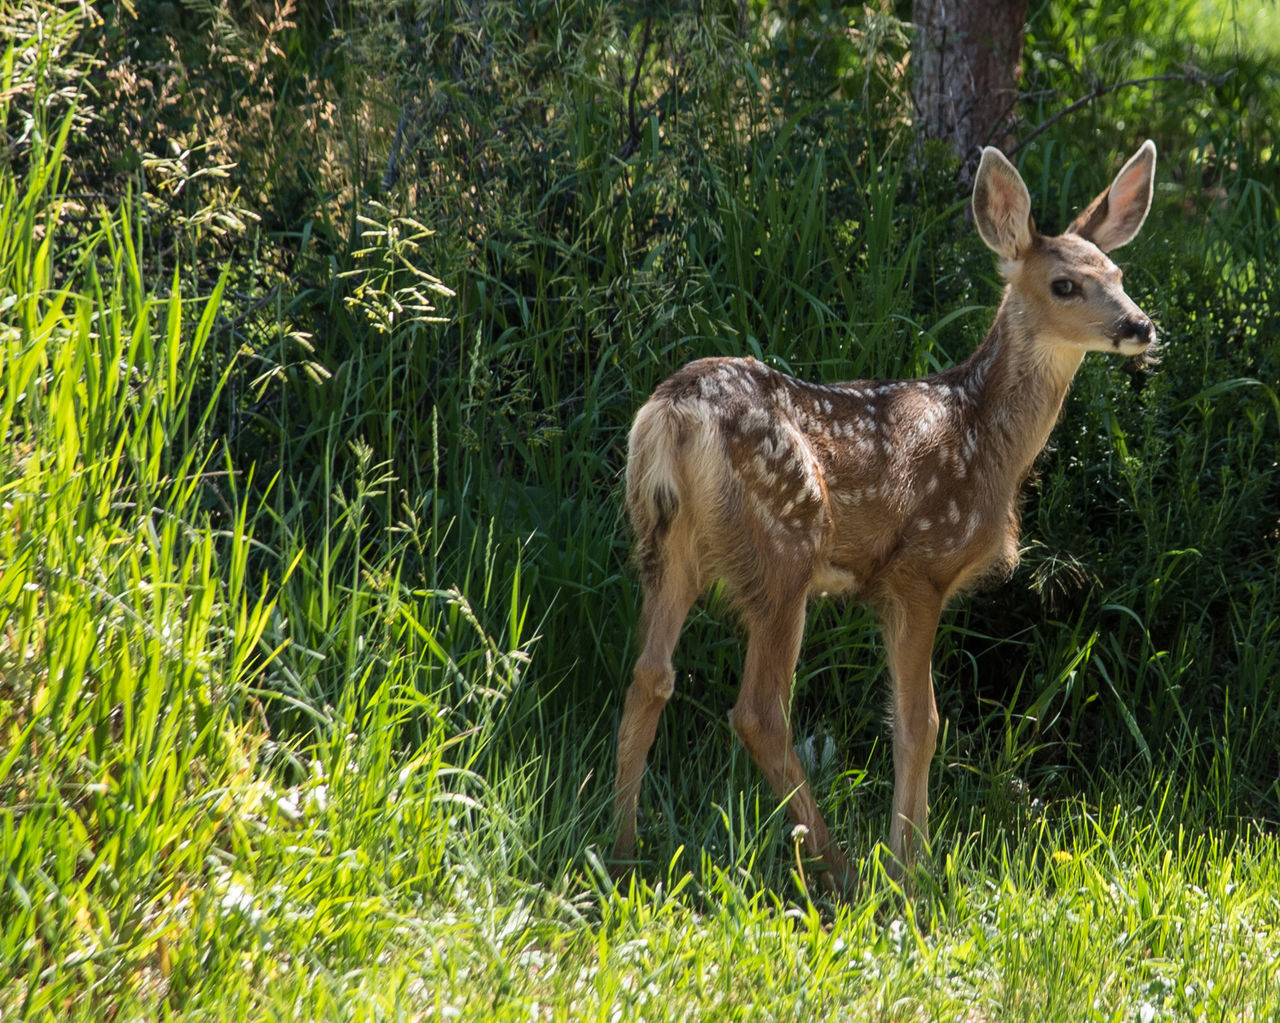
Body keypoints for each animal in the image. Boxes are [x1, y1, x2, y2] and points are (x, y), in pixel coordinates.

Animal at [609, 140, 1162, 891]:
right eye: (1065, 286)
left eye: (1119, 273)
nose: (1140, 325)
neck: (983, 439)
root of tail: (673, 413)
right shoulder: (919, 568)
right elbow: (920, 723)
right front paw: (911, 867)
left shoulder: (887, 590)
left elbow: (904, 719)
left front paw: (912, 854)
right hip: (783, 547)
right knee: (759, 712)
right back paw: (840, 869)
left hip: (665, 542)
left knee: (650, 676)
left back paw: (621, 849)